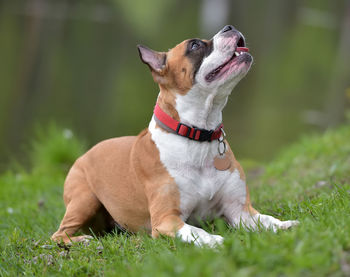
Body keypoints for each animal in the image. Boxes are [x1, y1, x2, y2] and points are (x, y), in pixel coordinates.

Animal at [51, 25, 298, 246]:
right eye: (195, 45)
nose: (230, 27)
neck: (198, 135)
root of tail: (85, 154)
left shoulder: (240, 212)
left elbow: (265, 220)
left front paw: (284, 224)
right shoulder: (166, 219)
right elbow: (196, 231)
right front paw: (214, 240)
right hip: (84, 199)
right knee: (58, 234)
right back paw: (80, 241)